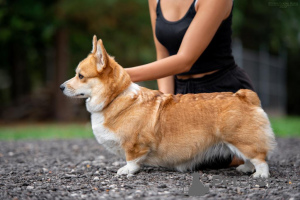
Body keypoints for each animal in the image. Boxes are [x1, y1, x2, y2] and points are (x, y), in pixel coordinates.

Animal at [60, 35, 276, 178]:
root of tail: (245, 96)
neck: (114, 98)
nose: (61, 87)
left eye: (80, 76)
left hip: (240, 138)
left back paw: (260, 175)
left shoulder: (134, 144)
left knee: (259, 157)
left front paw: (127, 170)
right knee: (250, 158)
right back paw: (246, 168)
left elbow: (132, 159)